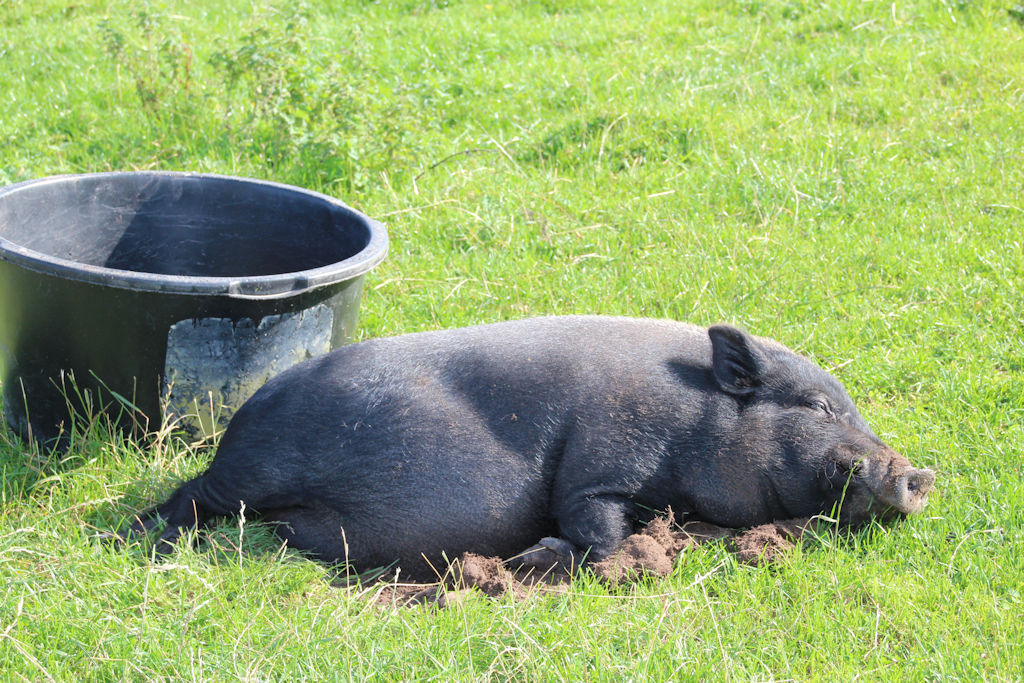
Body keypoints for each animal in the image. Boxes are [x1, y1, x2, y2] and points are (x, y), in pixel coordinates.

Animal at [121, 317, 937, 573]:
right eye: (820, 406)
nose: (919, 473)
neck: (696, 418)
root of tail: (246, 411)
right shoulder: (599, 460)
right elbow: (594, 521)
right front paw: (540, 560)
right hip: (248, 471)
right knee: (190, 498)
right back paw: (140, 540)